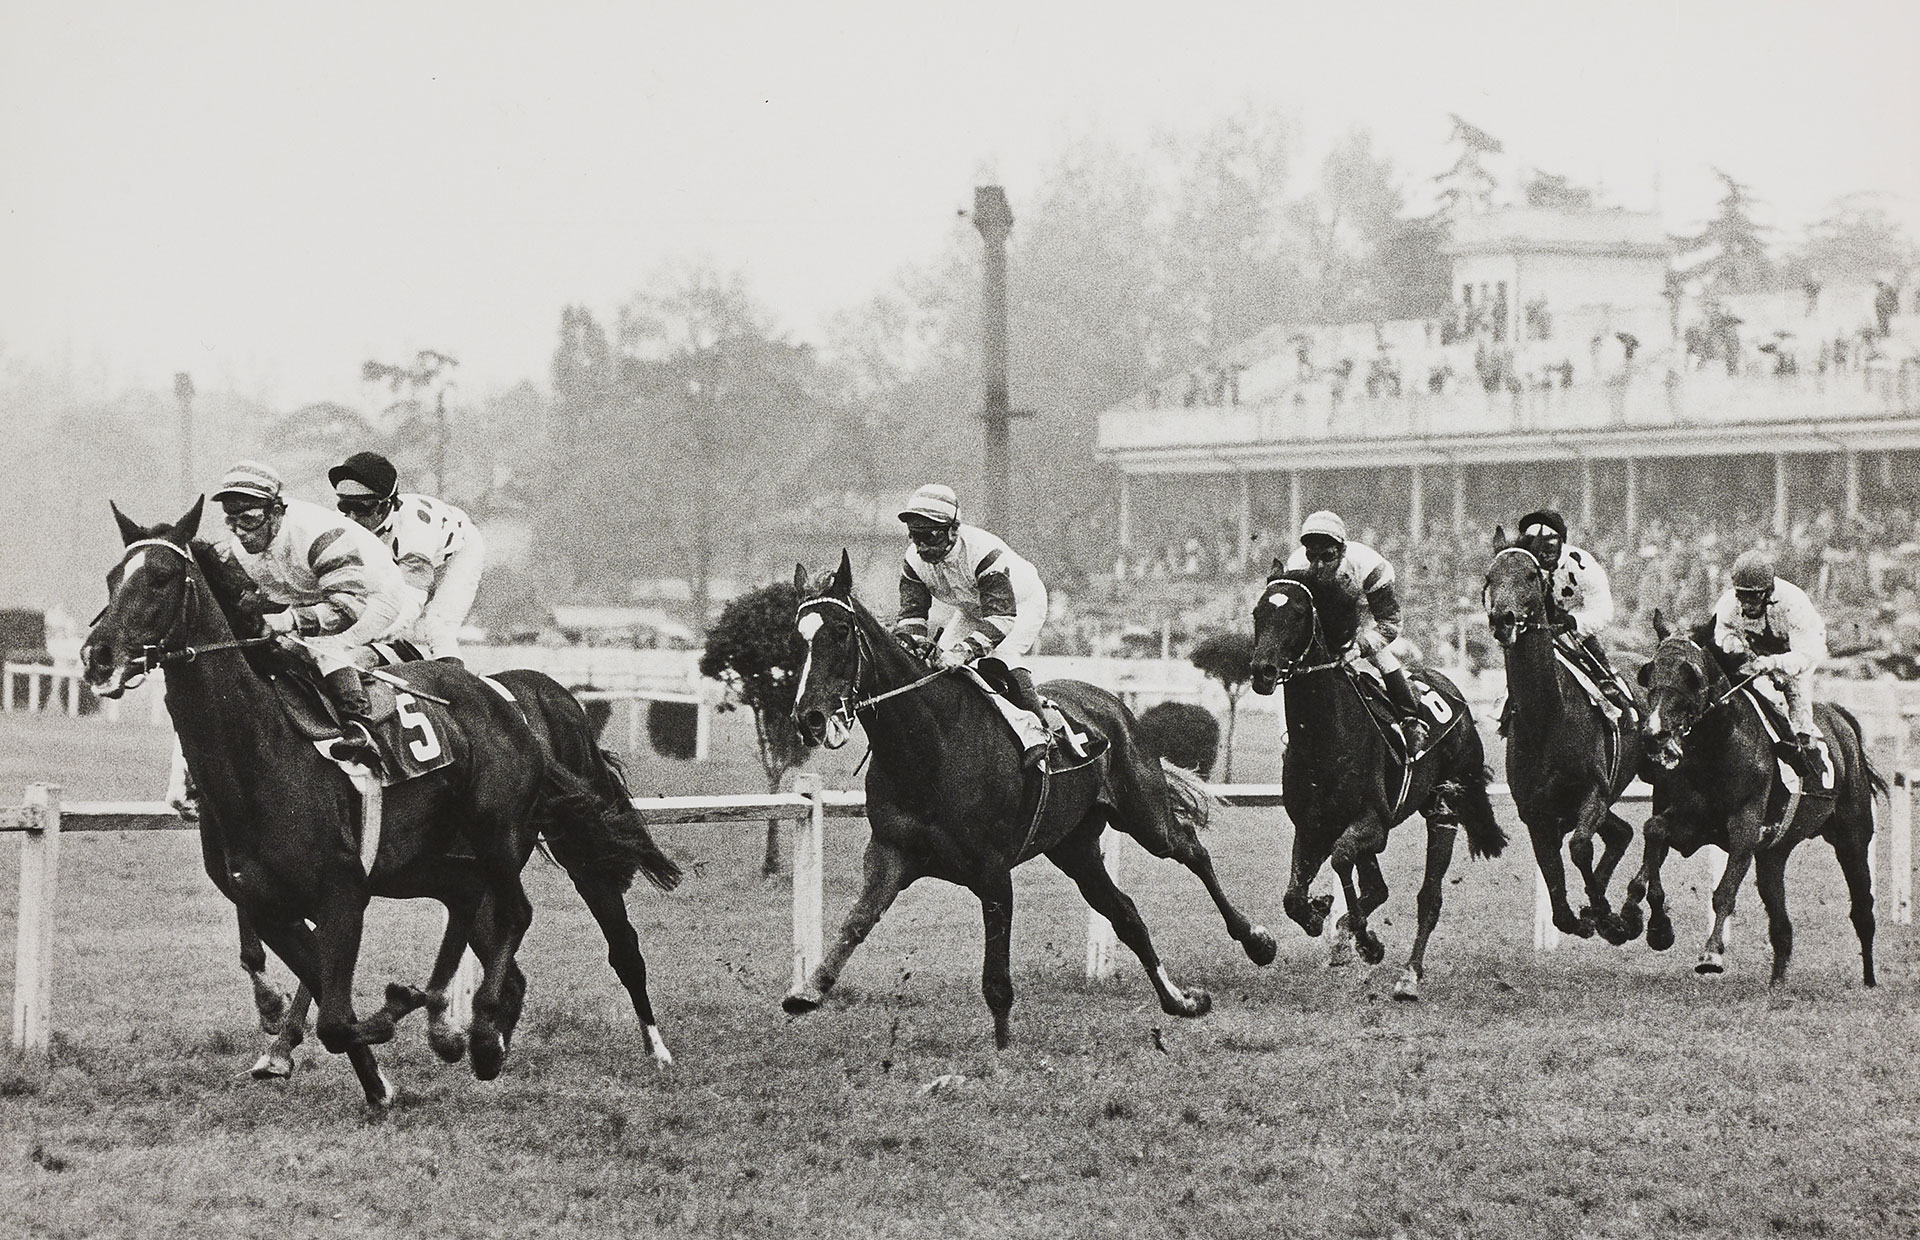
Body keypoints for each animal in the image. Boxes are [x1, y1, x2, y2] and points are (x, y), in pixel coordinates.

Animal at [84, 499, 675, 1113]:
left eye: (161, 577)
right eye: (112, 577)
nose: (98, 655)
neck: (262, 751)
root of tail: (514, 700)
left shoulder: (344, 889)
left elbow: (336, 1019)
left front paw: (399, 1018)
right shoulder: (270, 905)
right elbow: (326, 1000)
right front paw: (371, 1080)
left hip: (506, 836)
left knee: (554, 924)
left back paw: (575, 1042)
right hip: (440, 862)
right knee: (482, 922)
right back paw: (473, 1032)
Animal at [779, 552, 1274, 1051]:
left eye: (841, 631)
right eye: (797, 637)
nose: (809, 718)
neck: (928, 746)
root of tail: (1112, 701)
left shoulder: (993, 869)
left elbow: (996, 977)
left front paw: (1002, 1051)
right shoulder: (891, 852)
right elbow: (856, 921)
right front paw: (808, 990)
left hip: (1144, 815)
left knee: (1190, 847)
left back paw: (1256, 940)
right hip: (1074, 846)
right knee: (1126, 914)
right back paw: (1181, 1000)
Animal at [1244, 564, 1512, 998]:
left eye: (1298, 613)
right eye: (1258, 612)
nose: (1263, 671)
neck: (1323, 736)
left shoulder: (1374, 823)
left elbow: (1342, 861)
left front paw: (1367, 943)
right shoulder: (1313, 826)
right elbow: (1294, 896)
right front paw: (1321, 915)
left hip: (1443, 807)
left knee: (1429, 897)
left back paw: (1409, 975)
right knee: (1377, 886)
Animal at [1482, 537, 1651, 944]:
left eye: (1530, 575)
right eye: (1490, 576)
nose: (1502, 619)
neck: (1547, 717)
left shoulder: (1593, 791)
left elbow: (1578, 847)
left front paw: (1605, 914)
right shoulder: (1536, 812)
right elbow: (1553, 876)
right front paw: (1584, 917)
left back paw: (1629, 913)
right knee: (1622, 833)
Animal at [1612, 618, 1881, 990]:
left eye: (1692, 674)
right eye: (1648, 671)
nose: (1654, 734)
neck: (1715, 747)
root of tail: (1841, 718)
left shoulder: (1744, 827)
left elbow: (1724, 891)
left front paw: (1711, 953)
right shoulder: (1686, 822)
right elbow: (1653, 835)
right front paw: (1647, 922)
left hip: (1853, 836)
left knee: (1862, 908)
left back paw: (1869, 979)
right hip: (1773, 855)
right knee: (1781, 921)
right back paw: (1777, 982)